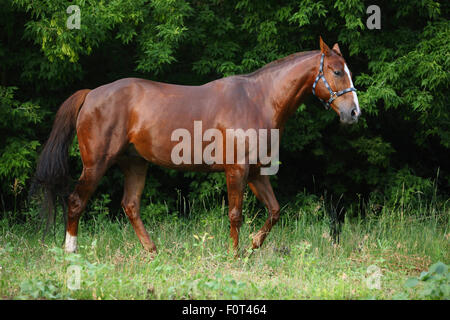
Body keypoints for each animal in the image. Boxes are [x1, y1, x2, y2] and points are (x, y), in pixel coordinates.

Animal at [33, 37, 360, 254]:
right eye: (336, 71)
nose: (354, 113)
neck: (258, 100)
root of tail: (91, 94)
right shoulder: (237, 170)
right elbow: (235, 214)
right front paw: (234, 255)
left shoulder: (256, 172)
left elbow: (275, 210)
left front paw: (253, 245)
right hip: (96, 164)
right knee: (76, 201)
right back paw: (71, 252)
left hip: (135, 164)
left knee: (130, 206)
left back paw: (153, 252)